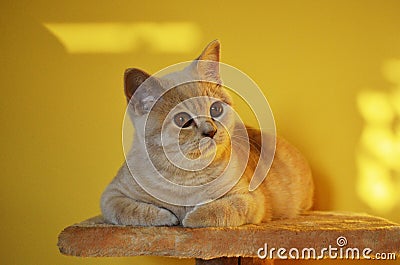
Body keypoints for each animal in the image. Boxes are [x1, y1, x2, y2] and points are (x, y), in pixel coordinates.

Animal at [100, 40, 312, 226]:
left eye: (216, 109)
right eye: (182, 120)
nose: (211, 131)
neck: (185, 179)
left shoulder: (250, 198)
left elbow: (221, 208)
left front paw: (191, 216)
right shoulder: (111, 195)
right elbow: (130, 210)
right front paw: (167, 216)